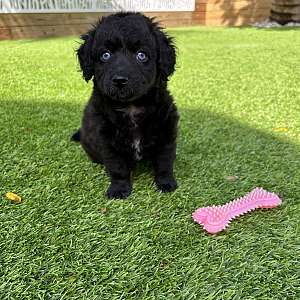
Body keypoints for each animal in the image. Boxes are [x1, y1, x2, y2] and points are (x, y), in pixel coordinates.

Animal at [73, 12, 178, 199]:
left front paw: (166, 183)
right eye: (105, 55)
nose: (120, 80)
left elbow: (165, 162)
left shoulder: (166, 132)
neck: (131, 106)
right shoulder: (107, 142)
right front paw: (119, 189)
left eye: (141, 55)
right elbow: (117, 168)